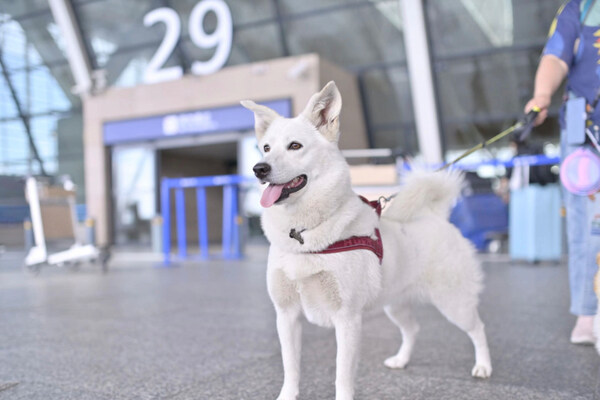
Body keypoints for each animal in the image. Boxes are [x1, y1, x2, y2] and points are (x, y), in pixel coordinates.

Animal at [241, 82, 490, 400]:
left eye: (295, 146)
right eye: (266, 148)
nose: (258, 169)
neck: (303, 234)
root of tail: (437, 216)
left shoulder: (347, 318)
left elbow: (342, 376)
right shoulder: (286, 315)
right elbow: (291, 368)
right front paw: (287, 395)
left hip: (453, 302)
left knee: (478, 328)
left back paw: (483, 366)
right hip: (395, 304)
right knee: (413, 329)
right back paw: (401, 360)